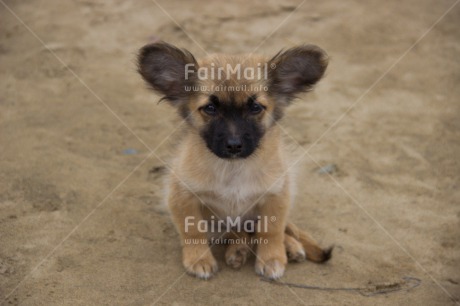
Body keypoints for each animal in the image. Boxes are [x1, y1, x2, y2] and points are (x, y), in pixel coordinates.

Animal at [137, 42, 330, 280]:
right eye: (210, 108)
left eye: (255, 107)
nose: (234, 145)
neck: (233, 169)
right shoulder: (181, 195)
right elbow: (193, 230)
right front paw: (199, 259)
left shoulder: (277, 193)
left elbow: (272, 230)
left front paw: (272, 258)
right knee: (239, 231)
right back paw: (238, 249)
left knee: (277, 227)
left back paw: (290, 245)